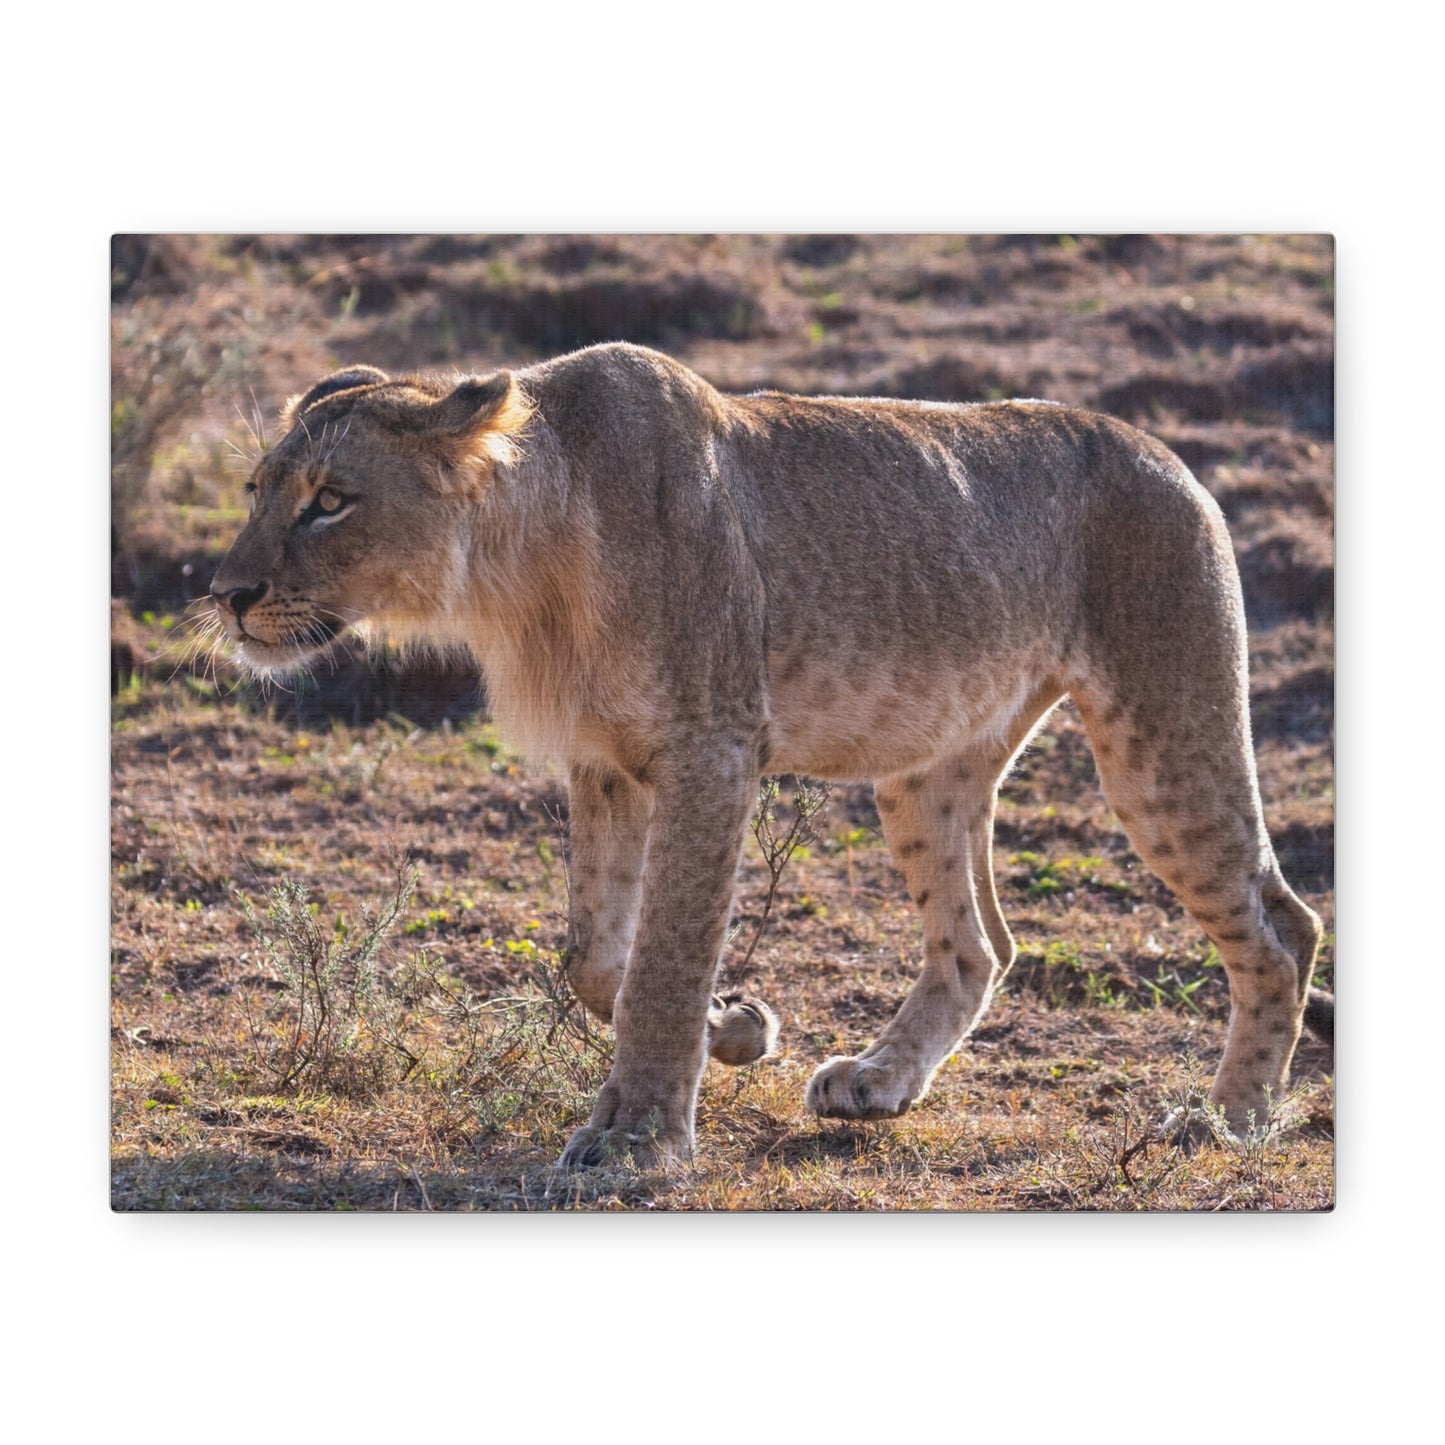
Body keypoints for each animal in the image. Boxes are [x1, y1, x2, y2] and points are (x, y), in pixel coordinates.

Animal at [212, 341, 1332, 1169]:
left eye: (330, 499)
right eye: (257, 487)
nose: (225, 594)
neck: (518, 572)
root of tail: (1165, 454)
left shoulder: (712, 748)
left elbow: (665, 954)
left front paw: (635, 1139)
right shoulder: (604, 760)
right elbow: (597, 956)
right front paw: (738, 1028)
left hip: (1161, 732)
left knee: (1281, 925)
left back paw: (1225, 1122)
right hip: (929, 766)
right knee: (978, 944)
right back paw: (877, 1080)